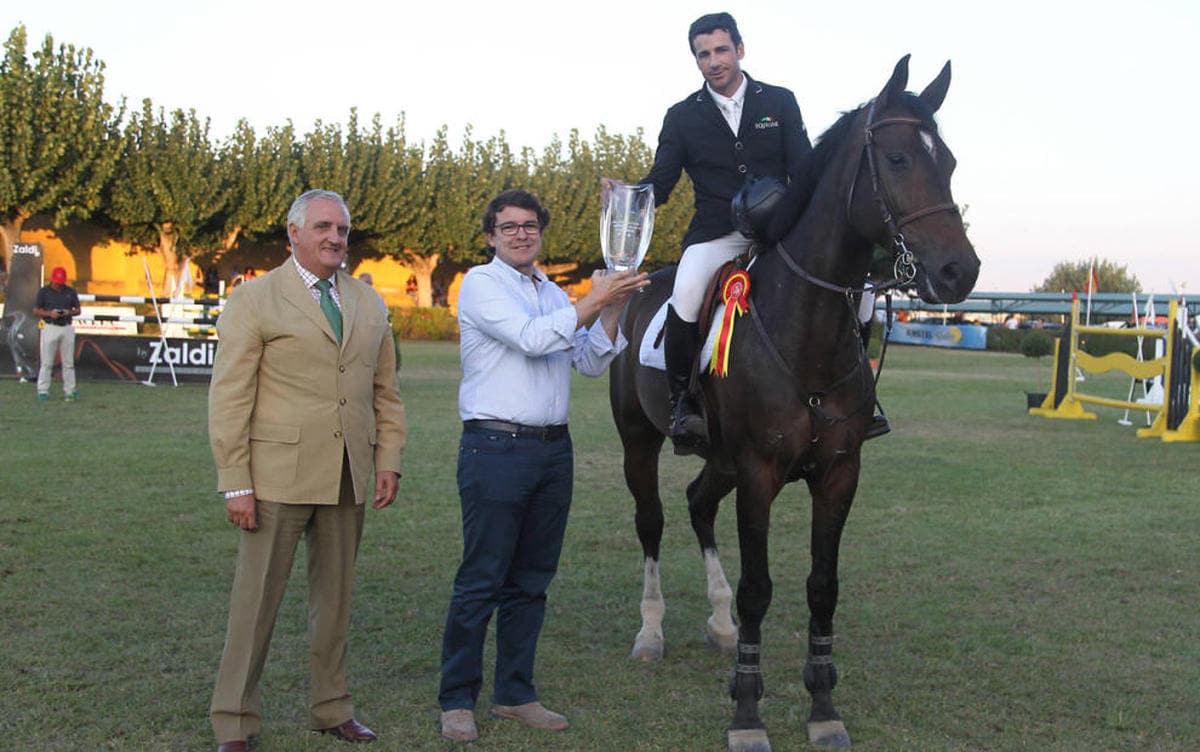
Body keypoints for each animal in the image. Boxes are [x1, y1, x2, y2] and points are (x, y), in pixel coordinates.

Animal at [609, 55, 974, 748]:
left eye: (948, 162)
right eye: (896, 160)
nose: (959, 273)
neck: (804, 328)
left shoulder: (837, 472)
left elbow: (822, 587)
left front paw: (823, 707)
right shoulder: (759, 472)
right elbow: (759, 588)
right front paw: (748, 714)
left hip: (720, 458)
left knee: (697, 503)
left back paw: (721, 627)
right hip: (641, 442)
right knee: (652, 521)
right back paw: (649, 632)